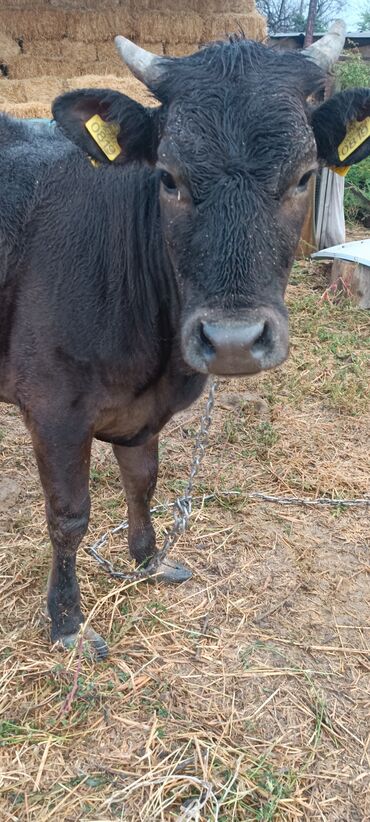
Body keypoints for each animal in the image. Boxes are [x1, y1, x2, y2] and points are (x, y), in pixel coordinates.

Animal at [0, 22, 370, 660]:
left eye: (303, 175)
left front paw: (149, 562)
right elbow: (69, 516)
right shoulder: (52, 407)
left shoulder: (141, 410)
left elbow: (143, 479)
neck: (158, 363)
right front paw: (67, 621)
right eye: (168, 177)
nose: (233, 340)